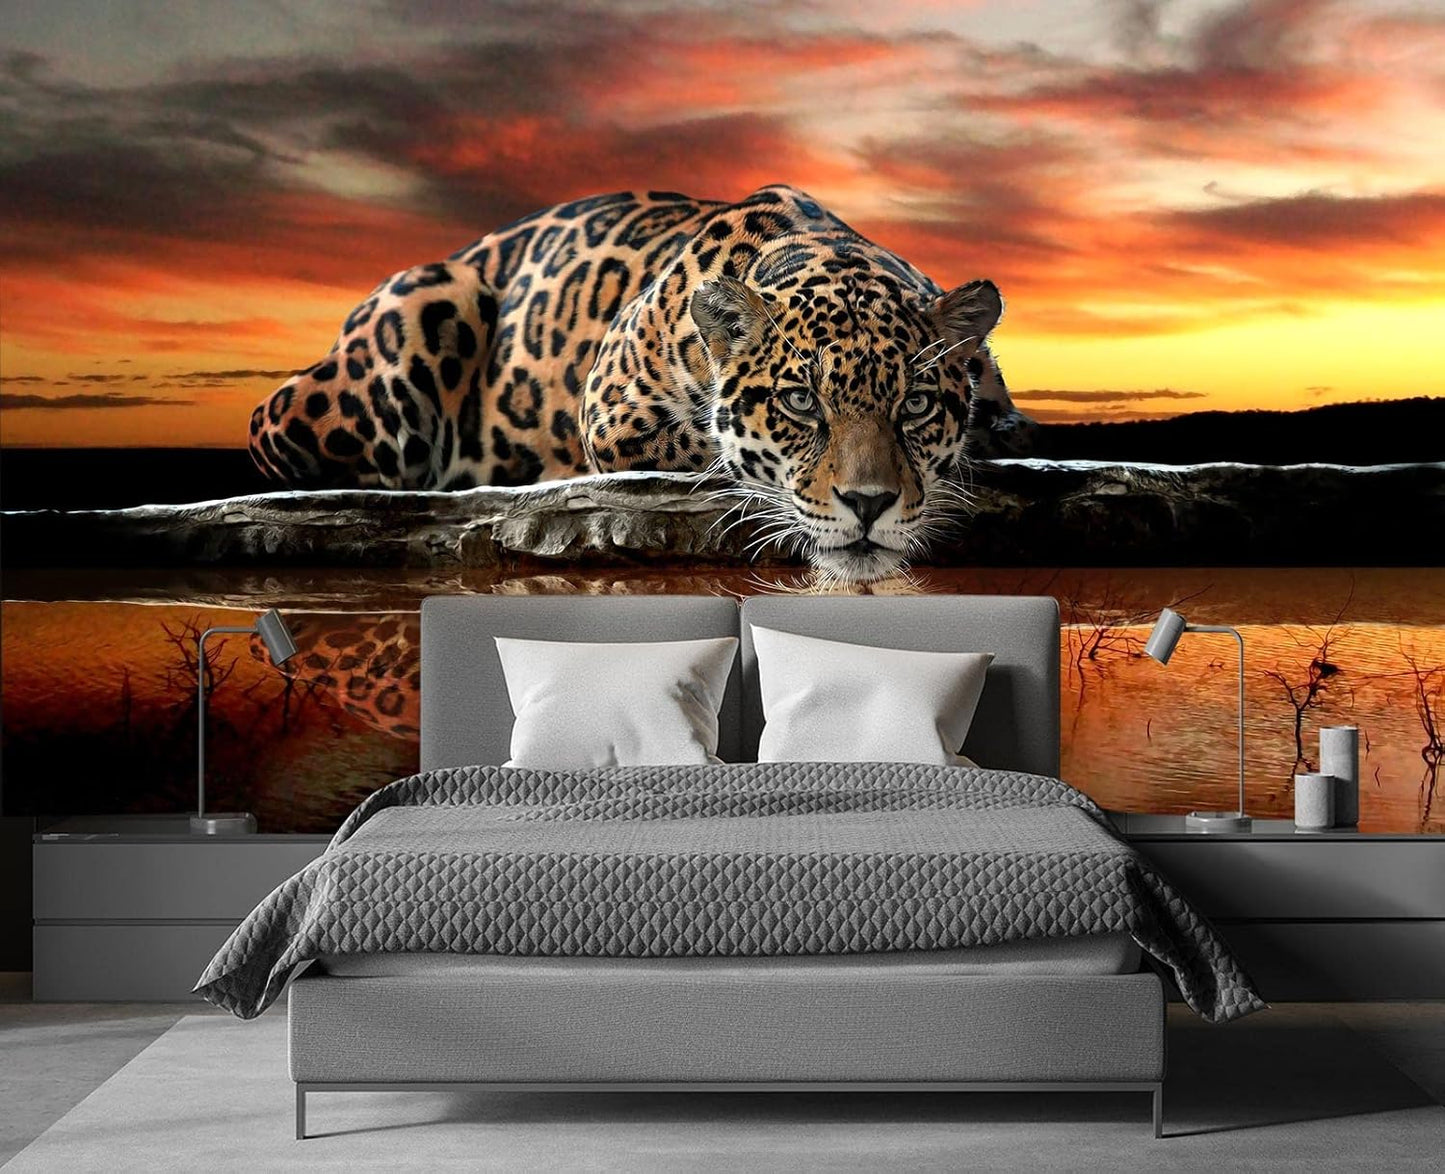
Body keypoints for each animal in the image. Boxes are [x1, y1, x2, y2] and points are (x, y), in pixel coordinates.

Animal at [248, 184, 1036, 583]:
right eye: (799, 402)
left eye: (917, 405)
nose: (870, 505)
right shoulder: (613, 413)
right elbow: (712, 447)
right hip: (416, 315)